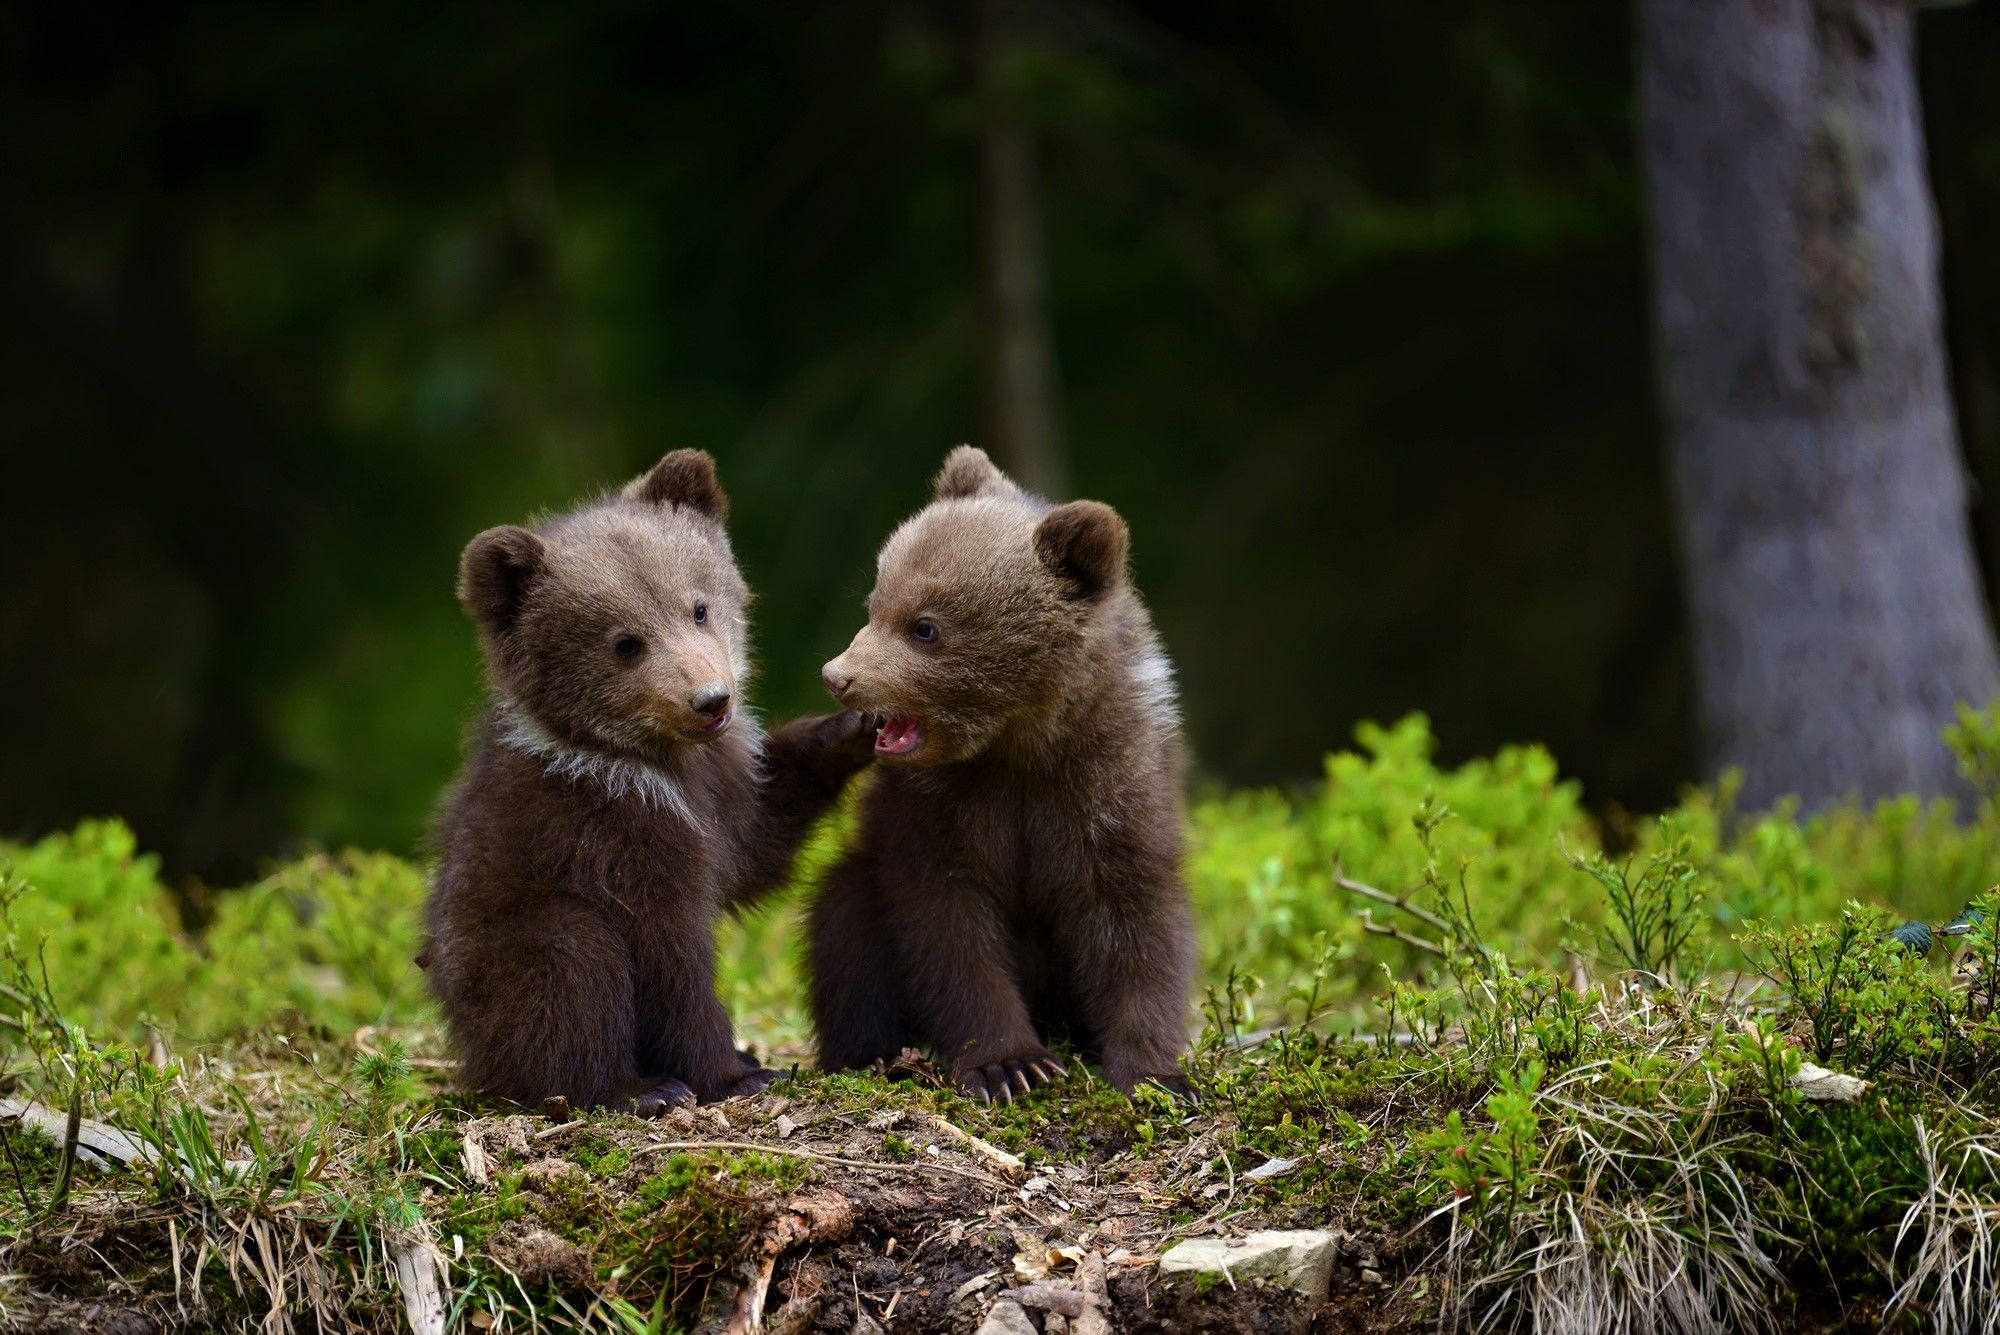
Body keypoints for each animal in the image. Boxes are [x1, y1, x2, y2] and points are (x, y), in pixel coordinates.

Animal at [424, 449, 875, 1113]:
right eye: (625, 643)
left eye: (698, 607)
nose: (710, 700)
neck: (655, 763)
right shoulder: (613, 833)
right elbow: (669, 957)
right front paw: (736, 1072)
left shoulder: (723, 791)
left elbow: (758, 843)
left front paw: (852, 727)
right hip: (504, 943)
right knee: (570, 964)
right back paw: (636, 1088)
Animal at [808, 445, 1195, 1103]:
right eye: (874, 604)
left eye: (925, 625)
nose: (839, 676)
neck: (1018, 742)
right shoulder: (940, 809)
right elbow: (949, 927)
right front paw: (1010, 1064)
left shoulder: (1110, 784)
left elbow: (1135, 920)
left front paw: (1155, 1072)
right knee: (843, 925)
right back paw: (872, 1053)